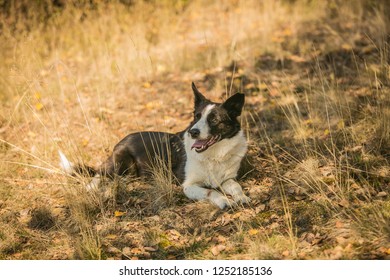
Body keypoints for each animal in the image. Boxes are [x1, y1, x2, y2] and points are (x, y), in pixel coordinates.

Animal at [60, 82, 250, 209]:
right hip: (121, 162)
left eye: (214, 119)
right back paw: (92, 187)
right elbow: (212, 192)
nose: (193, 132)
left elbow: (236, 186)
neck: (214, 155)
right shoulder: (188, 186)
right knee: (100, 173)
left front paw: (241, 197)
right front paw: (224, 200)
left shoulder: (226, 179)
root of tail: (121, 141)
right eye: (196, 116)